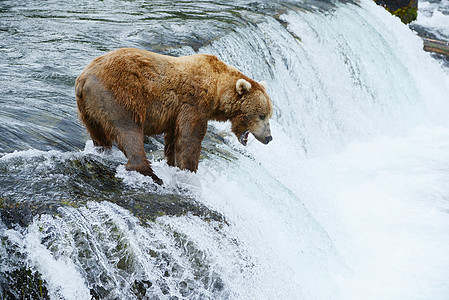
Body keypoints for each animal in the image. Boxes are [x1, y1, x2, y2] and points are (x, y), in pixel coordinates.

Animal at [75, 47, 272, 184]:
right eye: (261, 115)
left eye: (269, 114)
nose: (269, 138)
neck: (216, 91)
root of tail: (83, 78)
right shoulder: (193, 104)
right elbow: (189, 138)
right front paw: (189, 171)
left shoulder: (175, 114)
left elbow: (173, 140)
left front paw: (174, 165)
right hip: (119, 95)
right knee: (128, 130)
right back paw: (151, 174)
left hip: (88, 110)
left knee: (99, 135)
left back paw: (102, 151)